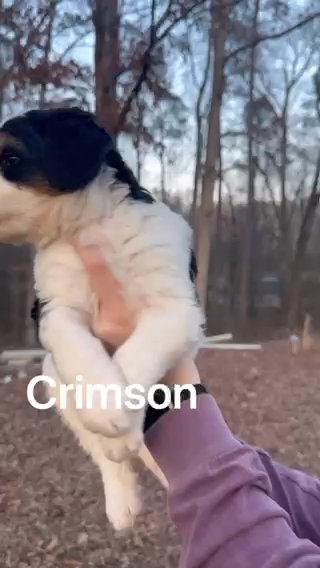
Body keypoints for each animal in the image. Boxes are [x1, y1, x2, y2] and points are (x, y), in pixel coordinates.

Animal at [0, 108, 205, 532]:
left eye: (10, 158)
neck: (91, 225)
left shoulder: (175, 306)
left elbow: (136, 353)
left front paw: (117, 419)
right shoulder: (54, 309)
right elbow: (80, 352)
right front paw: (110, 417)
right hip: (53, 380)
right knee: (100, 454)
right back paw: (121, 502)